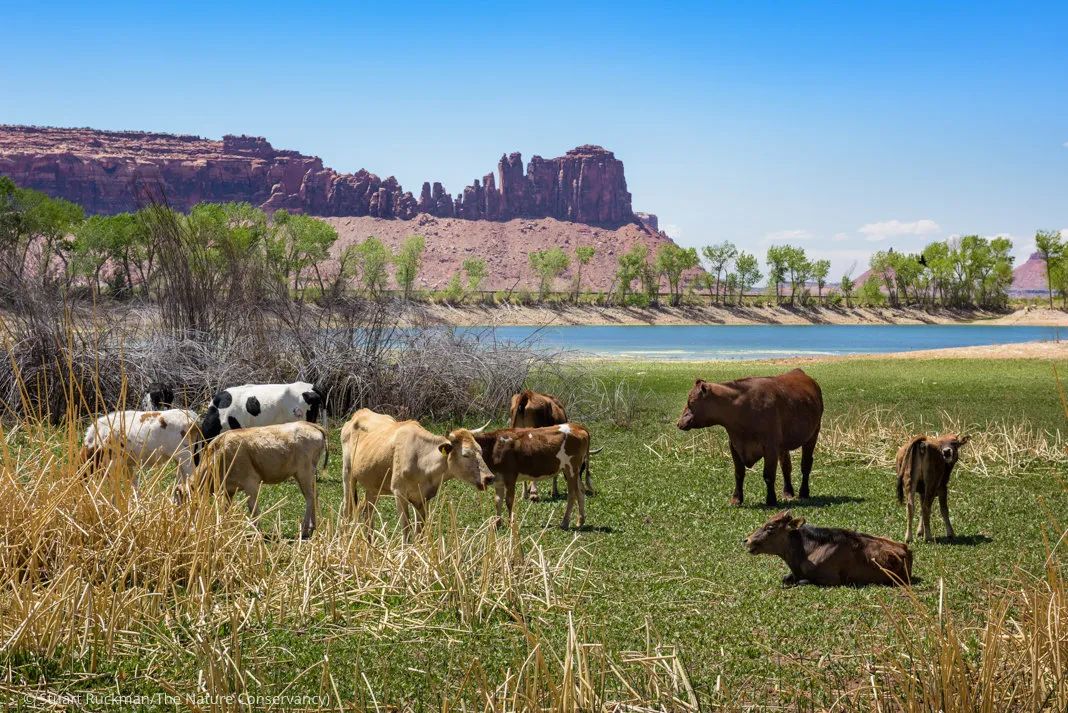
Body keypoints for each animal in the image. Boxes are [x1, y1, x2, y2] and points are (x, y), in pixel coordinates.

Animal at [191, 420, 324, 537]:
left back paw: (305, 530)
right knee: (315, 495)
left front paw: (258, 533)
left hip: (304, 473)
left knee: (310, 497)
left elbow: (253, 508)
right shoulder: (229, 490)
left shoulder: (250, 482)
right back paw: (313, 527)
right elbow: (226, 509)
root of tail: (308, 424)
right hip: (308, 475)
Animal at [339, 405, 493, 540]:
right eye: (465, 454)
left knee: (368, 513)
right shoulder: (399, 493)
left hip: (373, 485)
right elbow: (406, 531)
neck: (421, 460)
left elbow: (420, 533)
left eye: (480, 450)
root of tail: (358, 413)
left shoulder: (423, 499)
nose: (489, 478)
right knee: (347, 510)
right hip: (348, 474)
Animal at [674, 367, 824, 505]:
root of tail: (799, 372)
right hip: (783, 445)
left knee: (806, 464)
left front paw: (771, 500)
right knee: (786, 466)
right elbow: (739, 473)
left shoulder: (770, 446)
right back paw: (788, 493)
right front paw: (736, 499)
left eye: (690, 402)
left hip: (813, 434)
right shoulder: (734, 444)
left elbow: (768, 475)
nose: (679, 422)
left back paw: (803, 493)